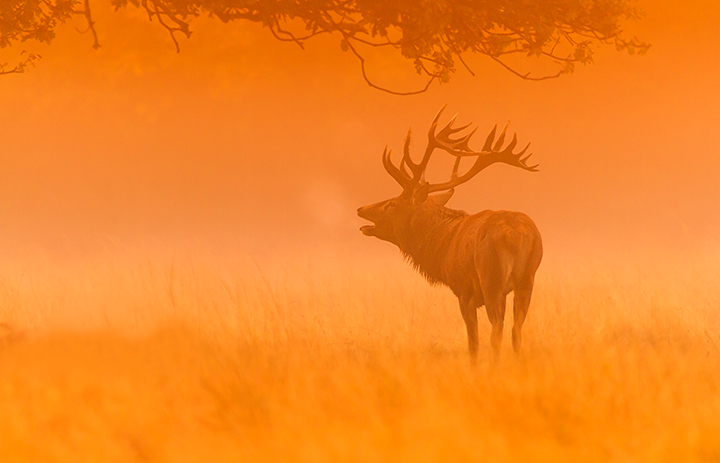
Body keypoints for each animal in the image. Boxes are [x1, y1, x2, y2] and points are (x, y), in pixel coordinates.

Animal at [356, 107, 543, 361]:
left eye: (392, 204)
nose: (361, 209)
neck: (441, 247)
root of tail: (517, 235)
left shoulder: (464, 291)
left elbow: (473, 343)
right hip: (527, 279)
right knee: (516, 331)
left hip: (491, 277)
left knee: (497, 332)